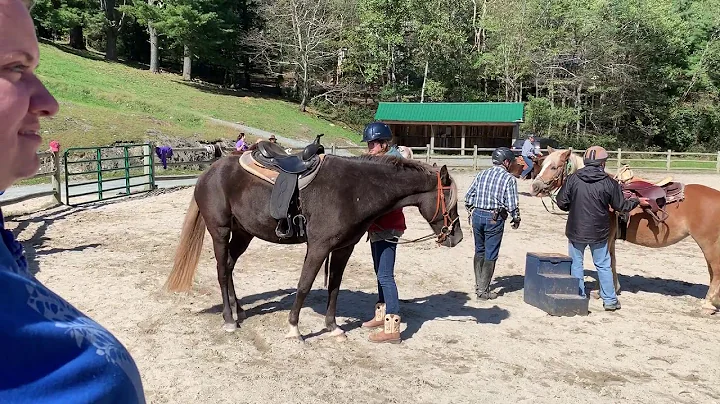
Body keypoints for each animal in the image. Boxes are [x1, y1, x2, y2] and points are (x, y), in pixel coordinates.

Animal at [166, 150, 464, 340]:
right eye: (451, 201)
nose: (457, 237)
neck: (356, 189)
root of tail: (209, 173)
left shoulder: (343, 248)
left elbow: (334, 287)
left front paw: (333, 327)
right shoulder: (319, 247)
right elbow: (304, 285)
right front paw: (294, 329)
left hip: (243, 233)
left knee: (228, 267)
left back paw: (238, 310)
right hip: (220, 231)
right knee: (220, 270)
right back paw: (229, 320)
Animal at [528, 147, 720, 314]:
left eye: (554, 167)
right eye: (542, 164)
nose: (534, 187)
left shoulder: (604, 238)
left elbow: (606, 262)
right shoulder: (610, 238)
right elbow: (611, 261)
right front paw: (612, 290)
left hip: (708, 243)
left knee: (716, 270)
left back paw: (707, 304)